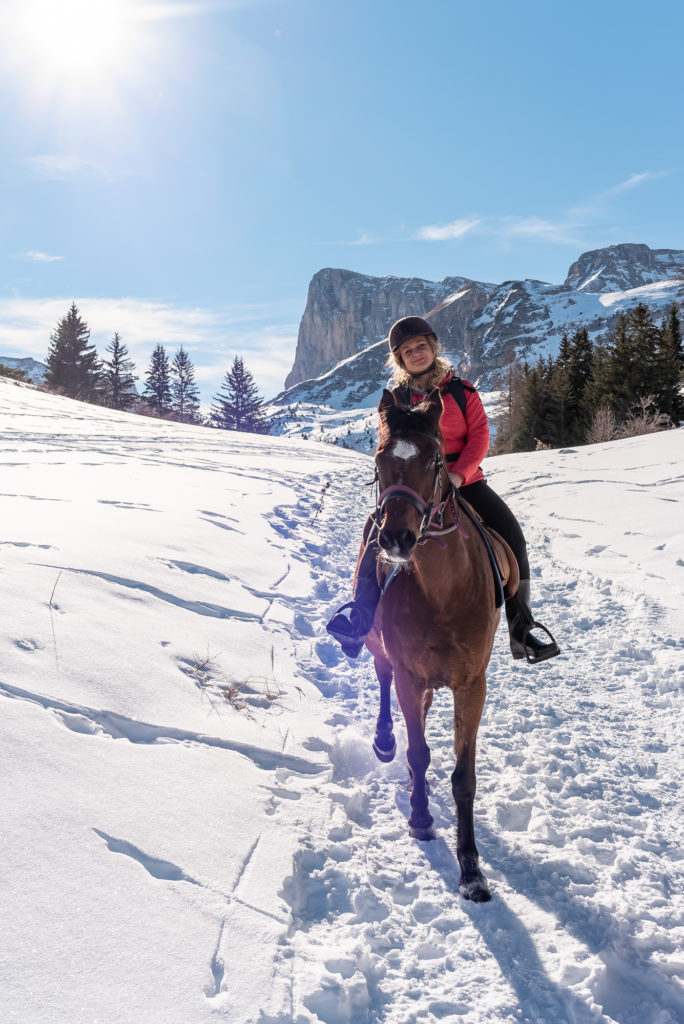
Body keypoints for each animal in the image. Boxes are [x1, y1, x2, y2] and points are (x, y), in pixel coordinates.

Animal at [362, 387, 518, 901]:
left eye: (434, 460)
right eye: (379, 458)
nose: (395, 538)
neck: (444, 594)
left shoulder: (472, 685)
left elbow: (463, 777)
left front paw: (471, 869)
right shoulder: (410, 674)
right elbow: (418, 751)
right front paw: (420, 817)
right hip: (379, 646)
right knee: (384, 680)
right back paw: (385, 742)